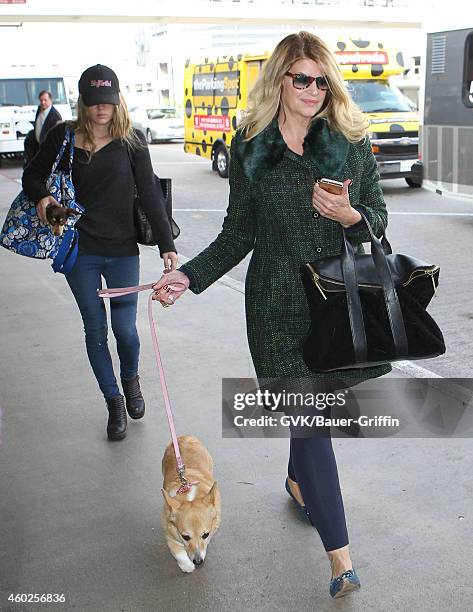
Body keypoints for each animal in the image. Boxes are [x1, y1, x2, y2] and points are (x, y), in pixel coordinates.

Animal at [161, 436, 220, 572]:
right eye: (186, 537)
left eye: (205, 535)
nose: (198, 561)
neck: (190, 496)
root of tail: (185, 436)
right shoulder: (169, 533)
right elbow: (178, 552)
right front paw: (187, 566)